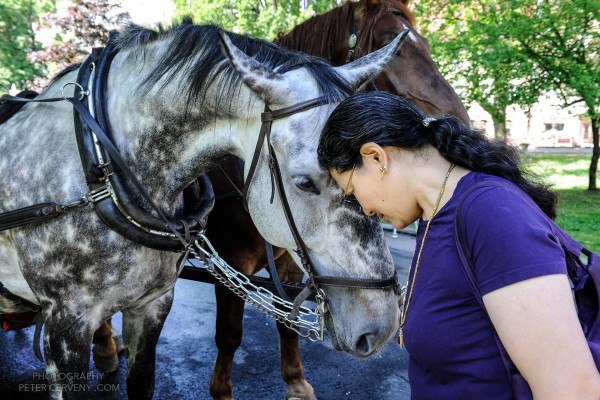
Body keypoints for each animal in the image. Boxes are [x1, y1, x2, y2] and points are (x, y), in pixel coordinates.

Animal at [0, 22, 406, 400]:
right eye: (305, 182)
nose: (382, 326)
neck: (102, 165)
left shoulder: (152, 304)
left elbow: (143, 383)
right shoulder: (65, 324)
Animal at [92, 1, 468, 398]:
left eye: (426, 44)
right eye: (390, 44)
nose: (459, 121)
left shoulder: (293, 262)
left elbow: (288, 323)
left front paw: (296, 381)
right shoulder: (232, 262)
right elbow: (229, 334)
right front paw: (222, 389)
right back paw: (105, 346)